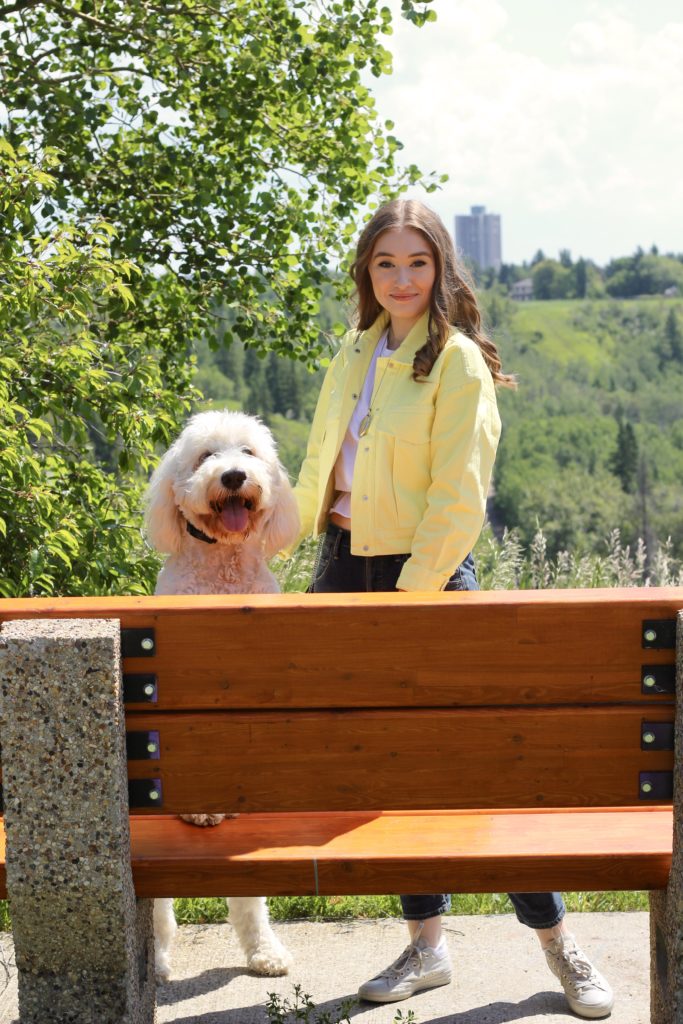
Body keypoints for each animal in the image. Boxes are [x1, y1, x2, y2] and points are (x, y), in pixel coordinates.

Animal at [144, 407, 299, 983]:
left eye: (248, 452)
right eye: (206, 455)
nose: (233, 476)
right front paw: (204, 810)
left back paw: (263, 951)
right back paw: (158, 961)